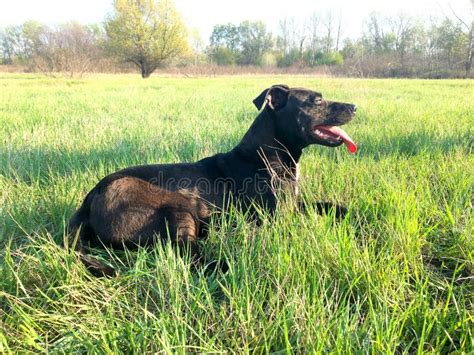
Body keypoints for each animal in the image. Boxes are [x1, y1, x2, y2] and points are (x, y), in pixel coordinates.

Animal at [66, 85, 356, 276]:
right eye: (316, 101)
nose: (354, 106)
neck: (265, 158)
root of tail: (89, 200)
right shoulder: (276, 218)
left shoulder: (291, 205)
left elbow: (327, 205)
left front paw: (352, 213)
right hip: (177, 208)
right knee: (188, 255)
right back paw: (226, 264)